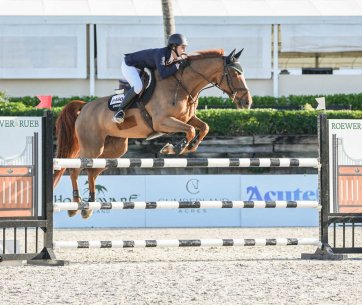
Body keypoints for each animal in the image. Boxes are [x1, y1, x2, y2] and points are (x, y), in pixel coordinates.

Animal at [53, 48, 252, 217]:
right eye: (235, 74)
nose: (247, 102)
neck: (183, 85)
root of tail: (85, 106)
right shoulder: (162, 121)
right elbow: (189, 130)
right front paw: (174, 148)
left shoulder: (186, 118)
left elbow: (203, 127)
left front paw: (189, 146)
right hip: (92, 147)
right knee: (74, 169)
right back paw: (75, 206)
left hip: (114, 149)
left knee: (92, 172)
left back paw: (89, 206)